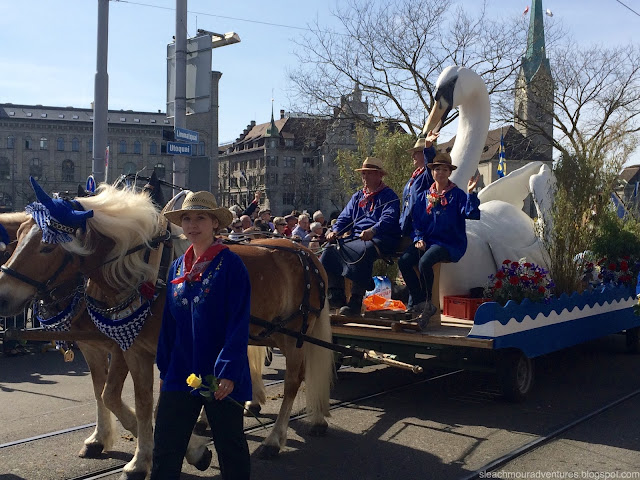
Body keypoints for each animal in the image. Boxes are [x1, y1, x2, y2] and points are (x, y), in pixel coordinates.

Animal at [0, 183, 336, 476]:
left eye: (46, 247)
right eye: (16, 239)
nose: (3, 296)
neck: (145, 276)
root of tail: (306, 253)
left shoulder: (127, 349)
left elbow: (128, 398)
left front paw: (180, 451)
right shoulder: (113, 348)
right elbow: (121, 397)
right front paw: (125, 451)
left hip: (294, 335)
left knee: (293, 381)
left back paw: (275, 439)